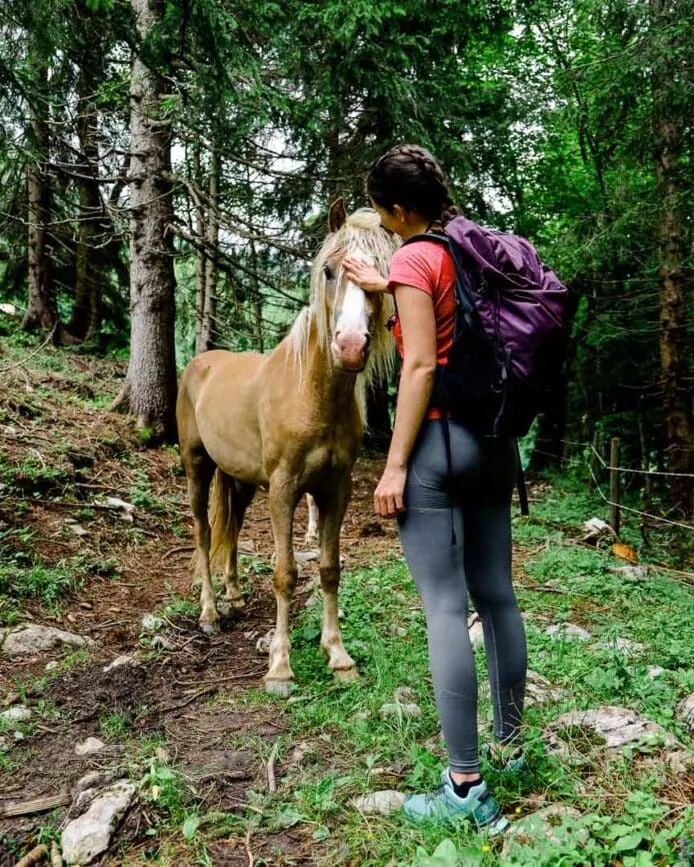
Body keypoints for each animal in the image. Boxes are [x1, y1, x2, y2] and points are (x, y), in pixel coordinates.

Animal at [176, 199, 397, 695]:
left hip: (239, 479)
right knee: (203, 531)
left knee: (233, 527)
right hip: (197, 465)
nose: (350, 346)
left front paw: (339, 656)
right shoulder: (283, 489)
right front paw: (279, 667)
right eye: (330, 270)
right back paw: (210, 613)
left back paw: (235, 594)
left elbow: (330, 568)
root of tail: (200, 363)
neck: (311, 396)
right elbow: (285, 573)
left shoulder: (336, 489)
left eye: (381, 273)